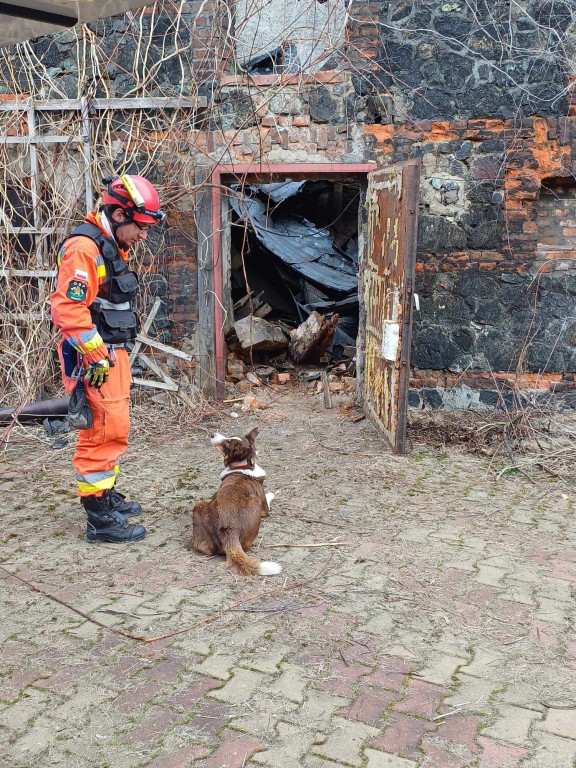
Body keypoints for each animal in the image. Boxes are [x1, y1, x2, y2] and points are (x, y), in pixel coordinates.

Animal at [192, 428, 282, 572]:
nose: (212, 434)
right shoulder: (264, 510)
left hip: (199, 505)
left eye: (226, 444)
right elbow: (269, 496)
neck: (243, 465)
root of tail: (229, 530)